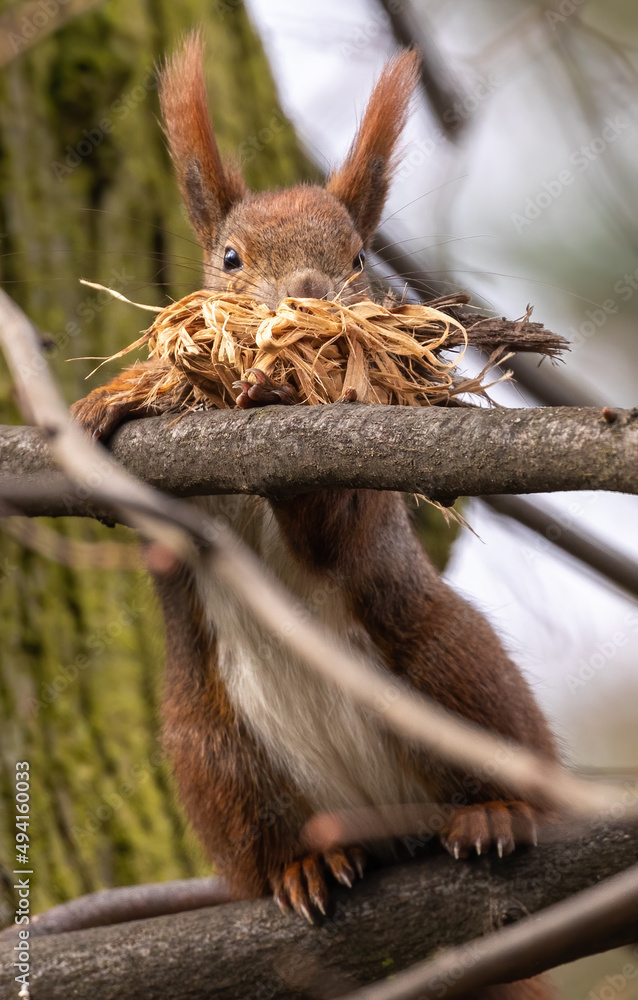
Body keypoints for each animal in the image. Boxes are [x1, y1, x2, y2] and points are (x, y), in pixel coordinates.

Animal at [72, 34, 558, 997]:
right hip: (216, 756)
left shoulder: (359, 480)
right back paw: (304, 866)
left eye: (360, 255)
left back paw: (497, 811)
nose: (307, 291)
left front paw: (271, 384)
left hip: (447, 666)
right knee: (270, 843)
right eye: (229, 257)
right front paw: (124, 393)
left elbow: (332, 522)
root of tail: (388, 831)